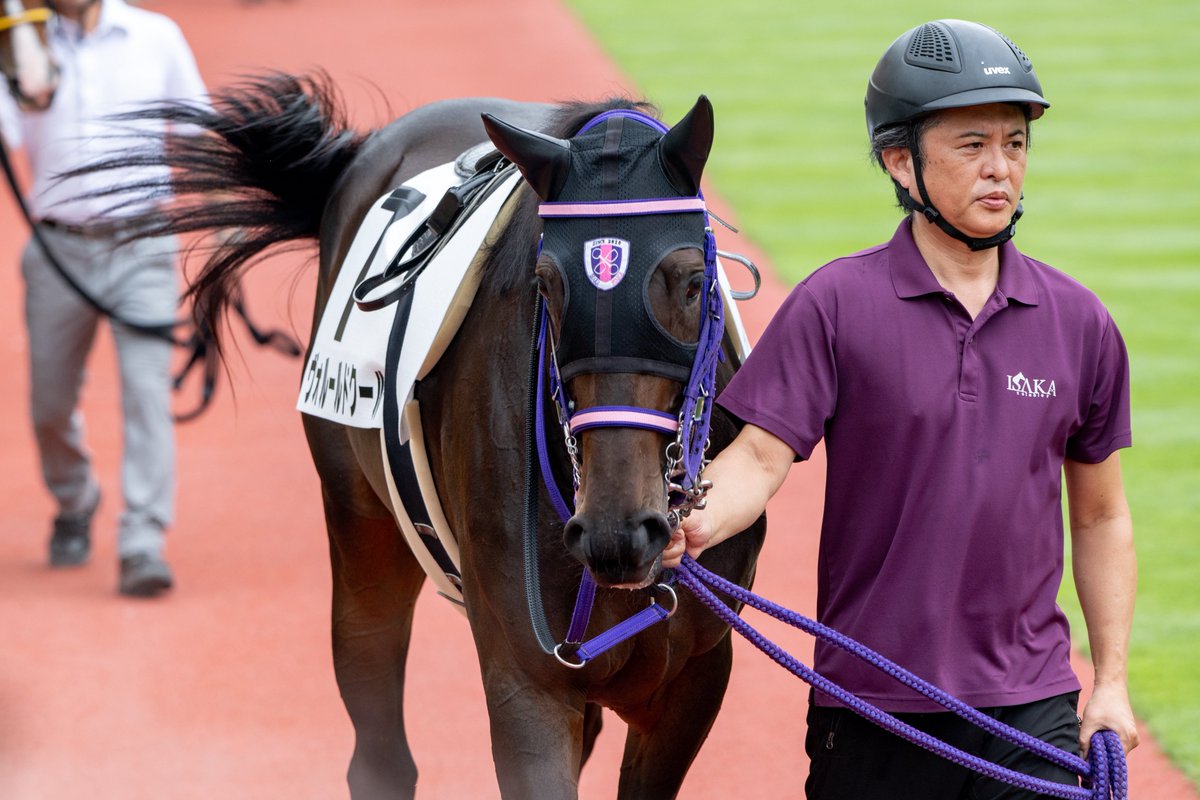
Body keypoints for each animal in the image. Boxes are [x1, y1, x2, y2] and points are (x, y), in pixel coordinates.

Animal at [76, 72, 767, 799]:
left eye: (692, 281)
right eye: (546, 285)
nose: (617, 532)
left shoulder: (695, 674)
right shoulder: (526, 675)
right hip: (361, 525)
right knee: (378, 748)